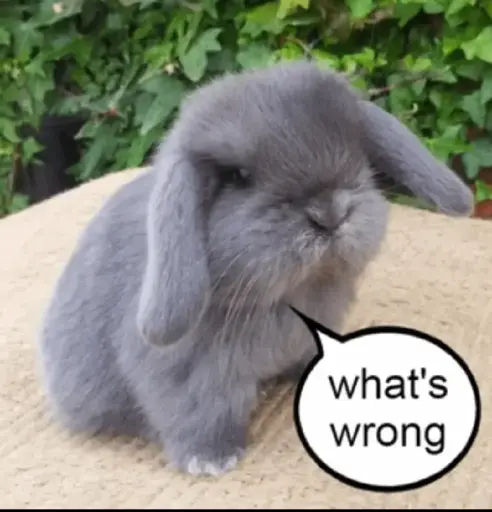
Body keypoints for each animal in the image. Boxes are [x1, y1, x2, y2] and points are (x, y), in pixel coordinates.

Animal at [37, 59, 473, 477]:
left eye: (357, 153)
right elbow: (199, 413)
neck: (290, 296)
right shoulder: (188, 377)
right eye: (238, 176)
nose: (329, 214)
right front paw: (210, 461)